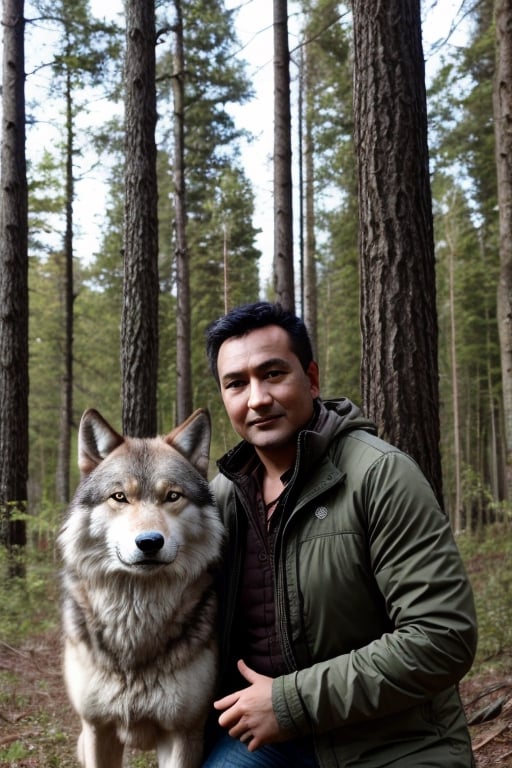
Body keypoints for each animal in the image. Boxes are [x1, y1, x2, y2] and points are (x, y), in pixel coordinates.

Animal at [58, 408, 224, 768]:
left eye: (172, 496)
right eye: (120, 497)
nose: (149, 542)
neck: (135, 624)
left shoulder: (183, 734)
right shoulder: (97, 729)